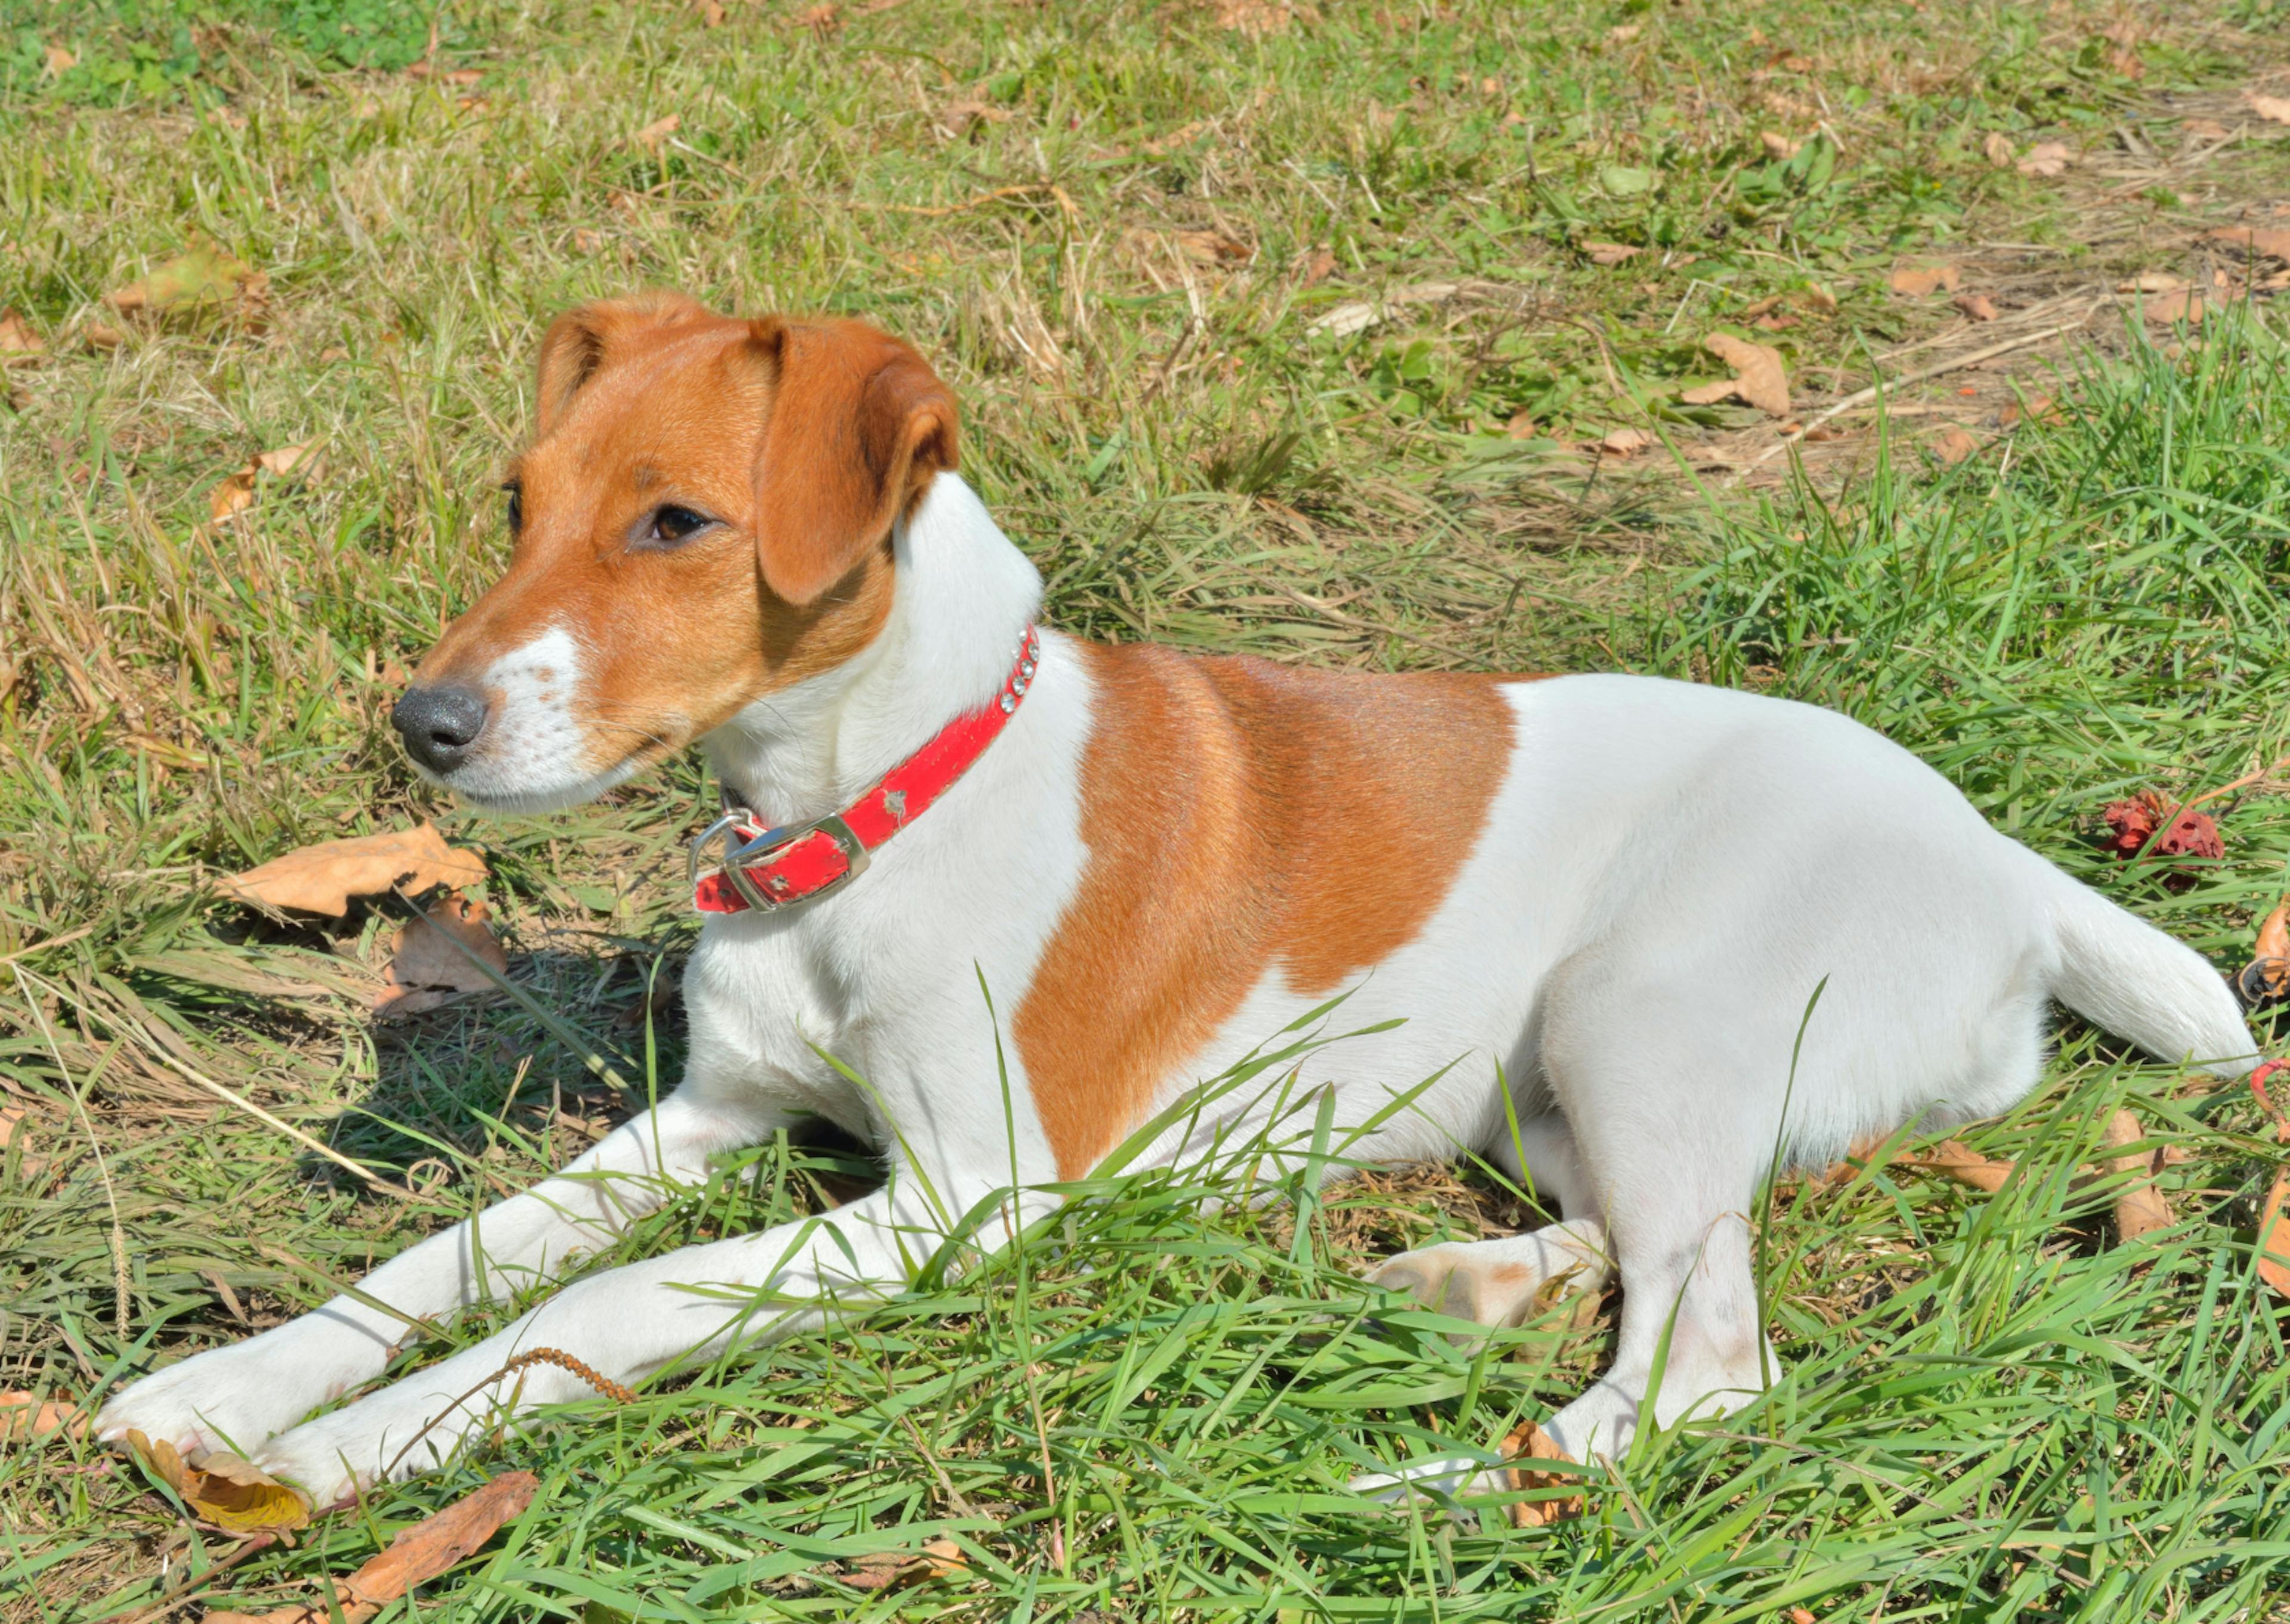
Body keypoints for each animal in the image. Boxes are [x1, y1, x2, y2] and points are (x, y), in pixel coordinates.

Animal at [94, 295, 2253, 1511]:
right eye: (516, 506)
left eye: (679, 521)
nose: (423, 725)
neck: (866, 815)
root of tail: (2007, 859)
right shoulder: (708, 1117)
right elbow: (446, 1255)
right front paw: (227, 1386)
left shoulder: (970, 1195)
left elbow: (595, 1301)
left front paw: (342, 1454)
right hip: (1565, 1075)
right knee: (1638, 1253)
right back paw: (1463, 1284)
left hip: (1639, 1007)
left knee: (1702, 1372)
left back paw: (1422, 1484)